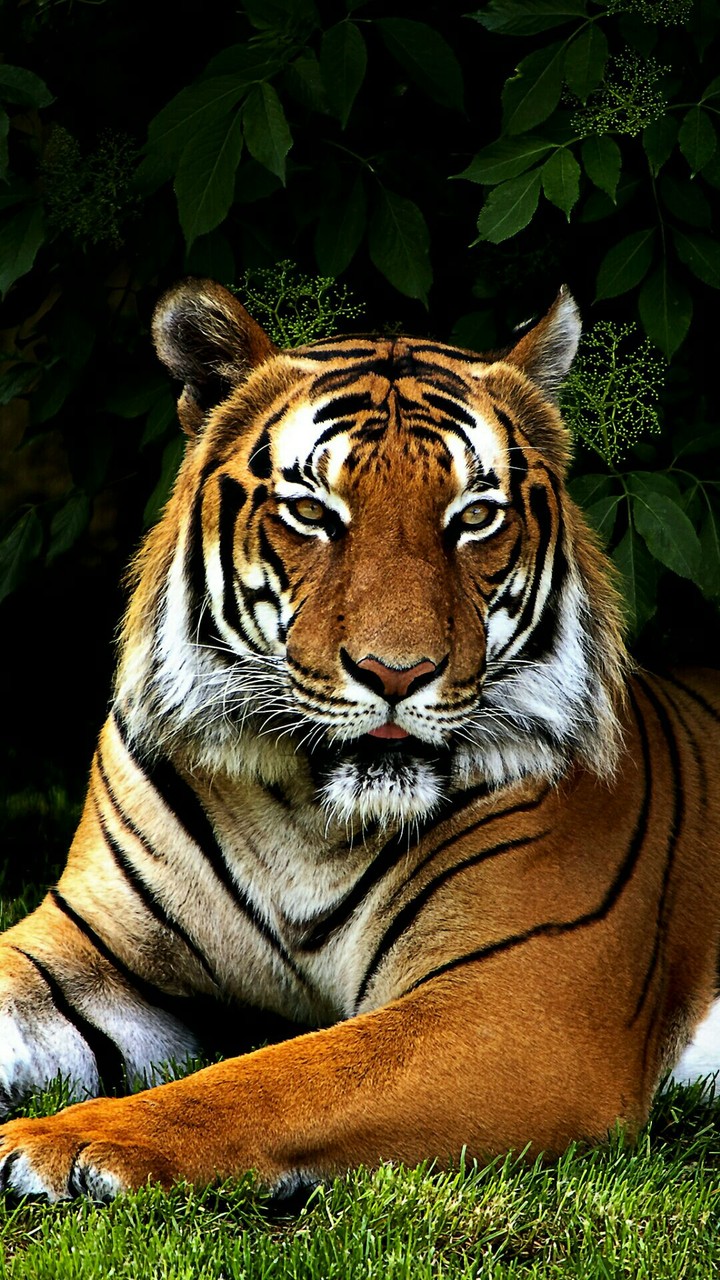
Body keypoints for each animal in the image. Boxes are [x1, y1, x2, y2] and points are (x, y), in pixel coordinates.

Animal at [0, 278, 719, 1204]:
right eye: (312, 512)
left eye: (474, 518)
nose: (396, 673)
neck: (306, 816)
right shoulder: (83, 948)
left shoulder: (525, 1004)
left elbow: (278, 1075)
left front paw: (67, 1138)